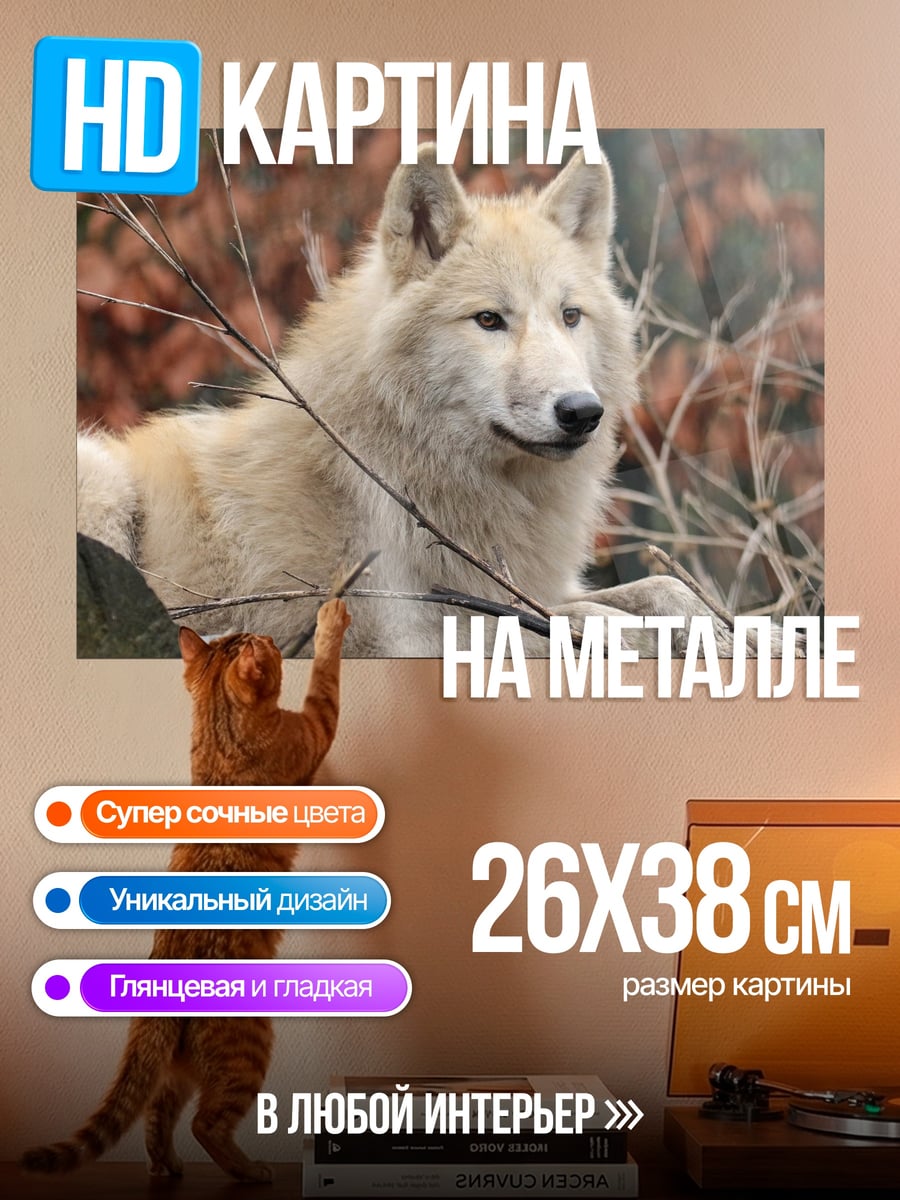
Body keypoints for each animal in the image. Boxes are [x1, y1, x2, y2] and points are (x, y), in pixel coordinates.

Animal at [78, 145, 728, 656]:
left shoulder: (526, 586)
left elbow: (662, 591)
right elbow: (583, 621)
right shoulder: (403, 625)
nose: (581, 412)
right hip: (103, 483)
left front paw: (728, 629)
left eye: (570, 316)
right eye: (488, 320)